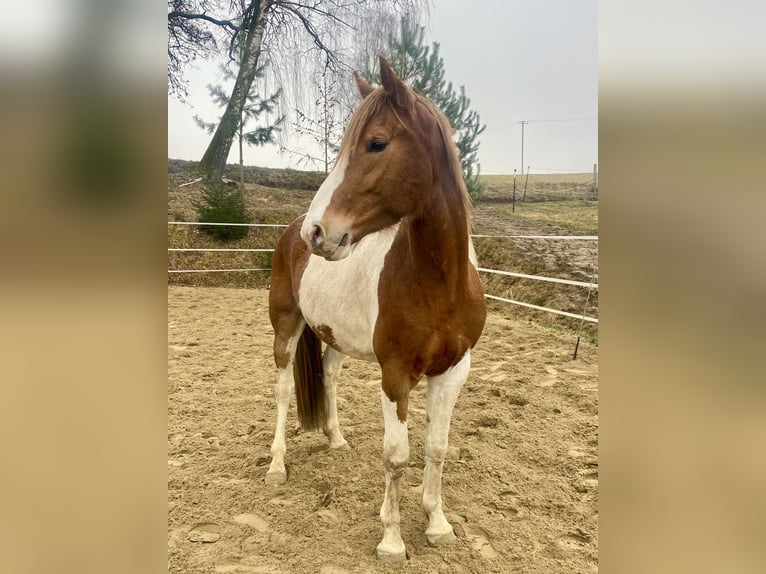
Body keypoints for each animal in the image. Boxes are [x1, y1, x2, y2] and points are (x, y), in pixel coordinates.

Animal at [268, 56, 488, 564]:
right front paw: (392, 539)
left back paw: (336, 439)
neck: (438, 284)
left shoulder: (453, 371)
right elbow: (397, 455)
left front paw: (438, 524)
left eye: (376, 143)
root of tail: (288, 231)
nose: (317, 232)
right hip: (286, 328)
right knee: (284, 391)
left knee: (328, 375)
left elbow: (436, 448)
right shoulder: (396, 374)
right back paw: (276, 464)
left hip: (335, 336)